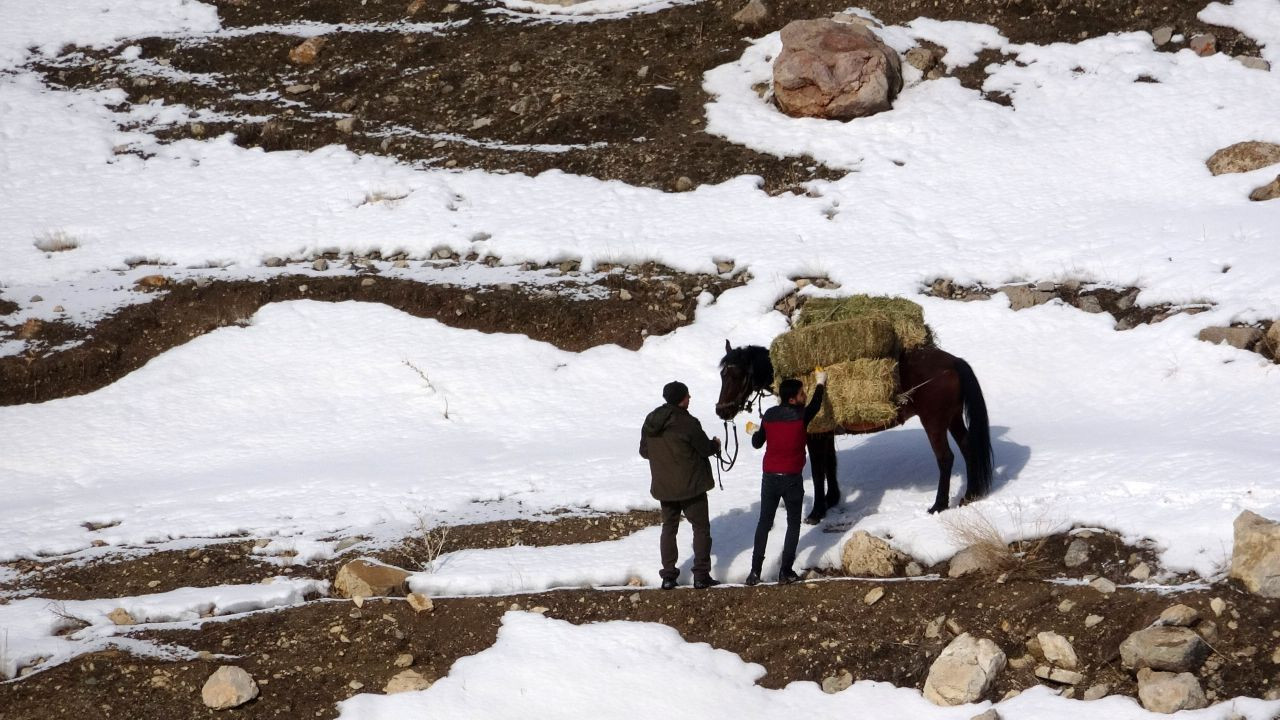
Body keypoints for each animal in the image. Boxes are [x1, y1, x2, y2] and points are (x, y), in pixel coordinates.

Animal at [716, 340, 993, 515]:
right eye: (722, 375)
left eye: (735, 375)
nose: (721, 411)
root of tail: (953, 362)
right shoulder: (825, 434)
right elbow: (830, 465)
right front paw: (831, 500)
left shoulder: (814, 435)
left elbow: (818, 470)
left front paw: (816, 512)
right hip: (953, 419)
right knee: (968, 449)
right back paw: (970, 494)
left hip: (934, 422)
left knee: (945, 458)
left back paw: (939, 505)